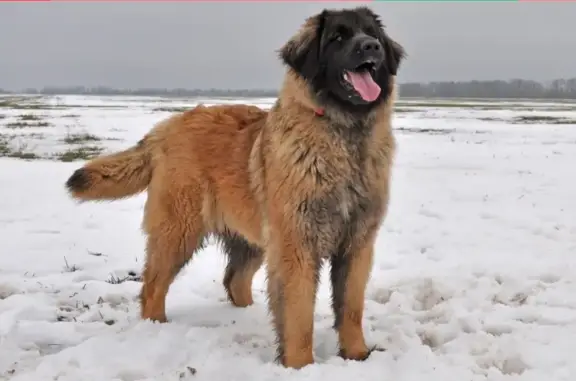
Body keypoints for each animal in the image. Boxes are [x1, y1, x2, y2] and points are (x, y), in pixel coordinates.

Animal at [66, 5, 404, 368]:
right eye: (337, 38)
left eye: (371, 33)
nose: (371, 47)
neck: (344, 135)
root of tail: (164, 129)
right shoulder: (296, 243)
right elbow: (299, 312)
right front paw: (300, 365)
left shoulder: (357, 243)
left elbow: (351, 307)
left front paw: (357, 355)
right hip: (179, 230)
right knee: (154, 284)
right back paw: (156, 327)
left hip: (251, 237)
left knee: (234, 281)